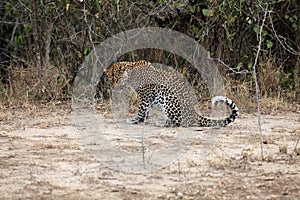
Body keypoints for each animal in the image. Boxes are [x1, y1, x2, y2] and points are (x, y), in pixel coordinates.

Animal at [105, 60, 239, 127]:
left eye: (117, 79)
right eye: (110, 80)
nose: (114, 88)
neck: (131, 73)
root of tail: (194, 114)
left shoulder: (146, 95)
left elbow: (141, 109)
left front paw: (135, 120)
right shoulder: (148, 97)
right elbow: (146, 110)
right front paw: (141, 120)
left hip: (168, 99)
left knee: (180, 122)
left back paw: (162, 123)